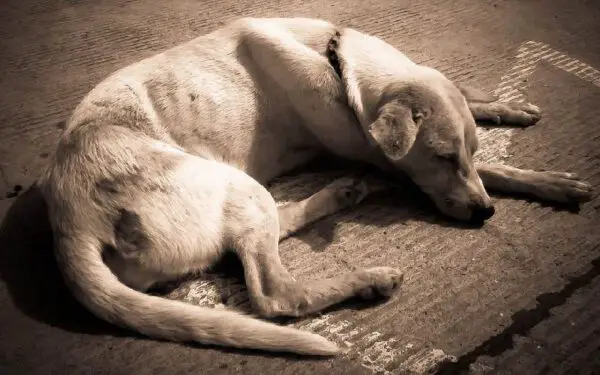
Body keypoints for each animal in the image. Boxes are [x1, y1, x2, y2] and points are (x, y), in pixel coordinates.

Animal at [38, 17, 596, 356]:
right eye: (441, 157)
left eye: (470, 151)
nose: (485, 214)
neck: (337, 63)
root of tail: (71, 224)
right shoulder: (385, 158)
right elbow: (493, 174)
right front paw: (545, 182)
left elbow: (471, 105)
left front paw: (506, 110)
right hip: (236, 186)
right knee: (277, 294)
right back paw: (368, 278)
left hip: (242, 192)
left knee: (263, 238)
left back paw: (340, 195)